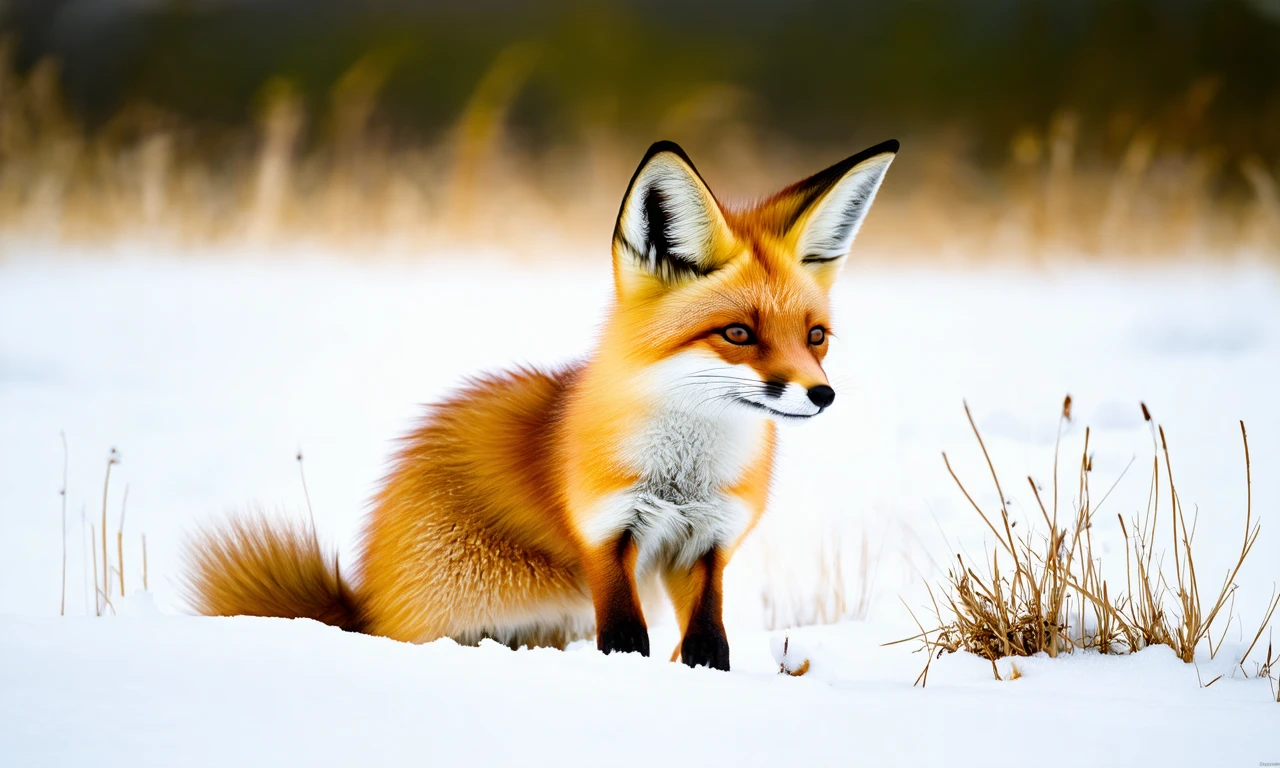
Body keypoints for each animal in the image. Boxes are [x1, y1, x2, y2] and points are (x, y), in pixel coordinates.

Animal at [185, 139, 896, 670]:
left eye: (815, 337)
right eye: (740, 334)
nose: (821, 394)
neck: (683, 474)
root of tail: (368, 605)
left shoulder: (708, 544)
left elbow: (707, 646)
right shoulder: (606, 536)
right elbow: (627, 643)